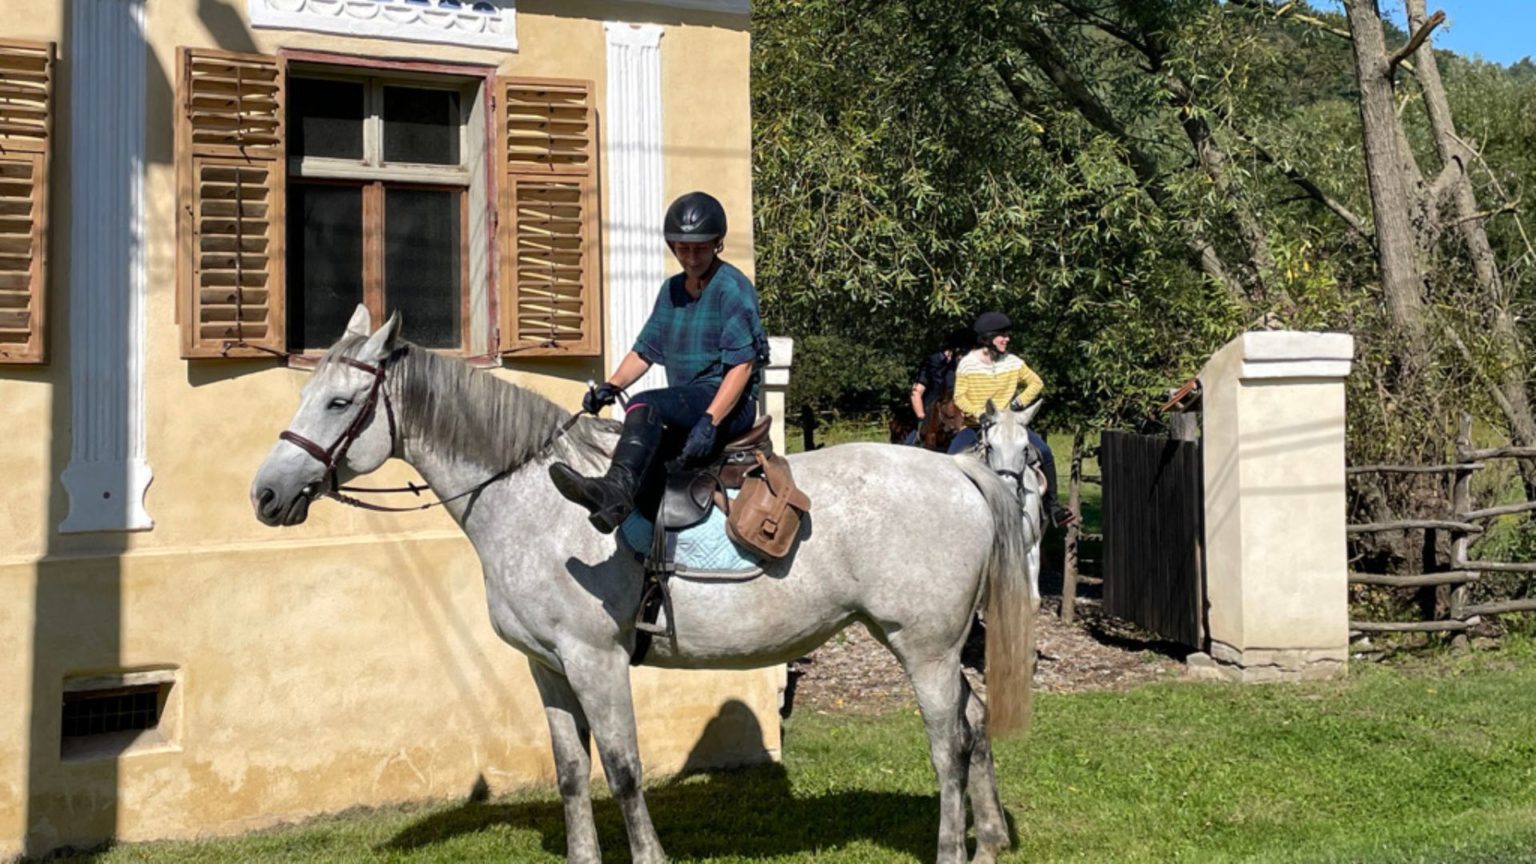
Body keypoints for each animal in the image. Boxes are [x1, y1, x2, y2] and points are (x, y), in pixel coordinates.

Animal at [248, 304, 1032, 860]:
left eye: (339, 404)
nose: (265, 494)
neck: (531, 500)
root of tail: (959, 472)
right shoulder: (548, 668)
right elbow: (571, 774)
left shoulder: (595, 660)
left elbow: (622, 770)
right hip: (937, 649)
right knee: (974, 725)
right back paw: (989, 842)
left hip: (923, 647)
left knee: (948, 744)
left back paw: (954, 849)